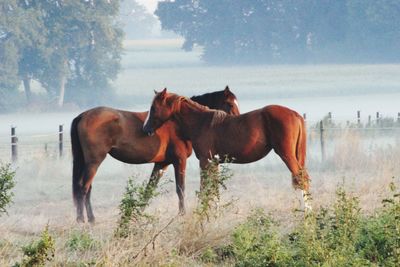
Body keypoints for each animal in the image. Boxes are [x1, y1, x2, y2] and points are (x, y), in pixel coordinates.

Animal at [71, 87, 241, 223]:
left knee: (85, 188)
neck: (179, 122)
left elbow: (149, 190)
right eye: (230, 104)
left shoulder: (161, 164)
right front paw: (182, 214)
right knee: (84, 188)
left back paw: (87, 219)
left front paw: (138, 214)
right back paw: (84, 220)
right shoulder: (179, 161)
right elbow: (181, 189)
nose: (238, 120)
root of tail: (82, 115)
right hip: (94, 161)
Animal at [143, 89, 312, 210]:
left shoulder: (205, 161)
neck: (202, 122)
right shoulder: (214, 163)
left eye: (154, 108)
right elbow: (215, 191)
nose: (146, 129)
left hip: (287, 155)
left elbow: (205, 190)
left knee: (302, 179)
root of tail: (295, 114)